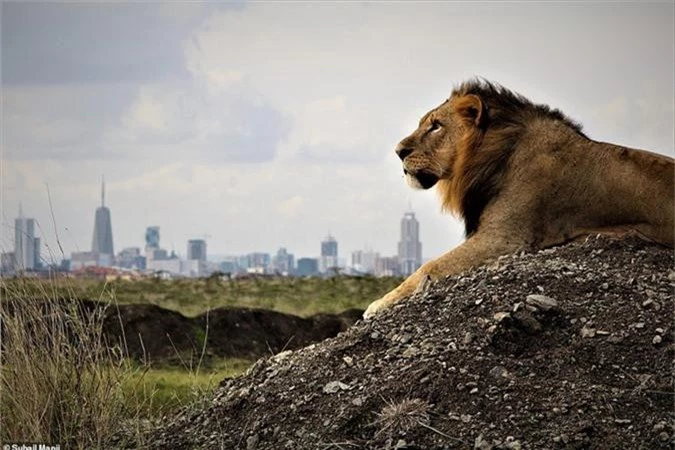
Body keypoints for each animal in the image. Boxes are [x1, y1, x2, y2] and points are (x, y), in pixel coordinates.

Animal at [368, 81, 672, 320]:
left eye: (436, 126)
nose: (398, 151)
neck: (496, 155)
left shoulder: (504, 238)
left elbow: (429, 266)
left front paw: (377, 304)